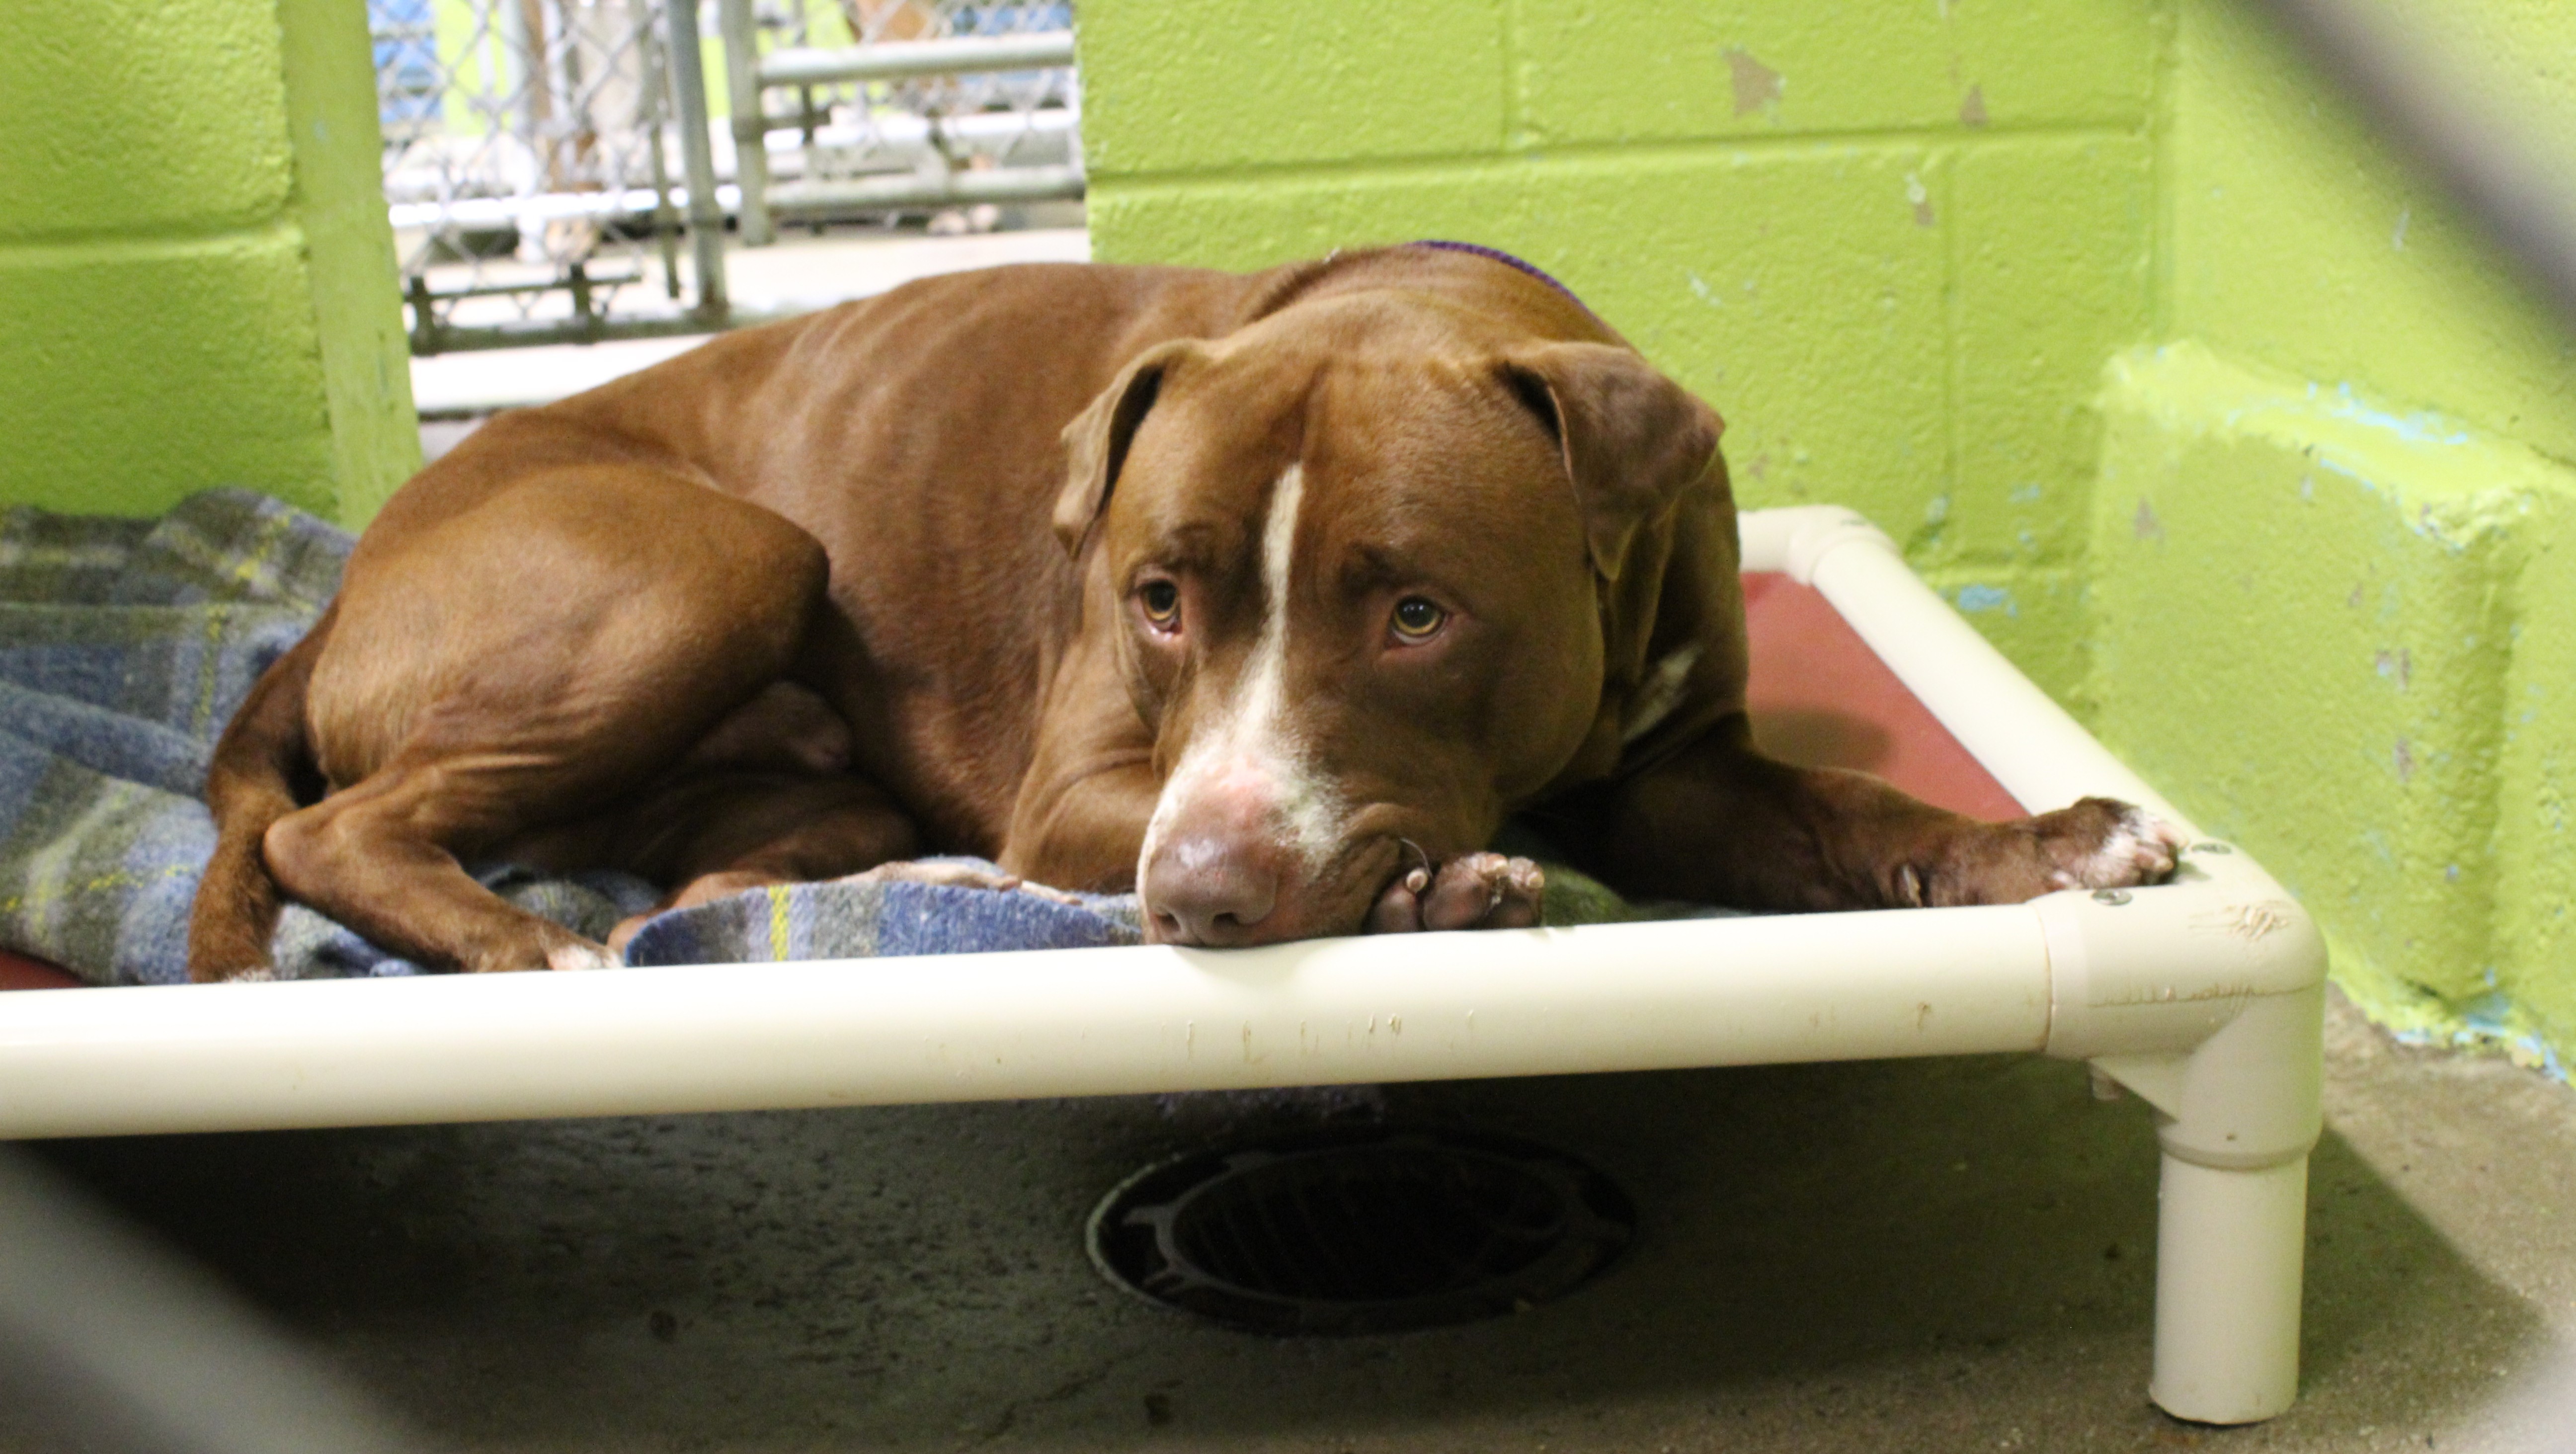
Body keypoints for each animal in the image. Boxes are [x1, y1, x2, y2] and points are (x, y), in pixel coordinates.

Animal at [190, 247, 2184, 974]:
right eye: (1154, 598)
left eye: (1418, 616)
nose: (1200, 899)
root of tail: (348, 584)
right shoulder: (1093, 791)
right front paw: (1433, 889)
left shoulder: (1682, 770)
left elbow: (1841, 809)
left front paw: (2044, 843)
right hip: (715, 565)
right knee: (334, 828)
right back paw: (535, 949)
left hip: (795, 766)